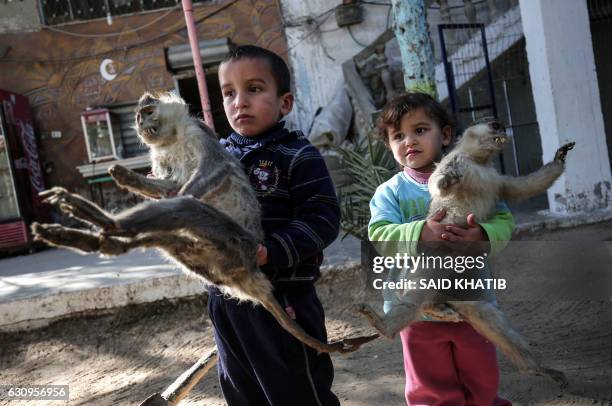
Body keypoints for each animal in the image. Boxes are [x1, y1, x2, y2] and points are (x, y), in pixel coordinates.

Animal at [33, 93, 378, 356]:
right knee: (168, 236)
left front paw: (173, 188)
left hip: (233, 243)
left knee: (186, 208)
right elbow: (169, 186)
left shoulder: (199, 133)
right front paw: (127, 177)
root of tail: (250, 273)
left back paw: (102, 224)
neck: (172, 139)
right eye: (138, 118)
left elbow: (210, 172)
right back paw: (95, 238)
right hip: (209, 258)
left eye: (147, 112)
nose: (142, 126)